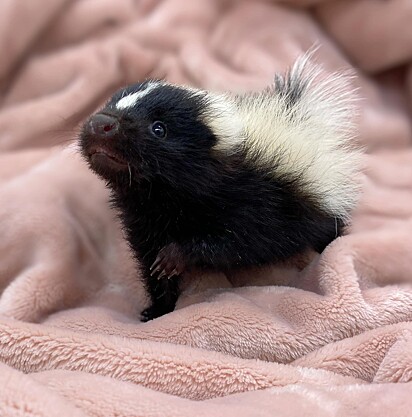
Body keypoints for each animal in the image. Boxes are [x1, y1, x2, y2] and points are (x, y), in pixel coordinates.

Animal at [79, 55, 362, 320]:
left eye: (159, 129)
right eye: (111, 104)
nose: (101, 123)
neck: (162, 199)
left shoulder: (257, 201)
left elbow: (239, 241)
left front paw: (175, 255)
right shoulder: (145, 222)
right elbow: (152, 265)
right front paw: (159, 308)